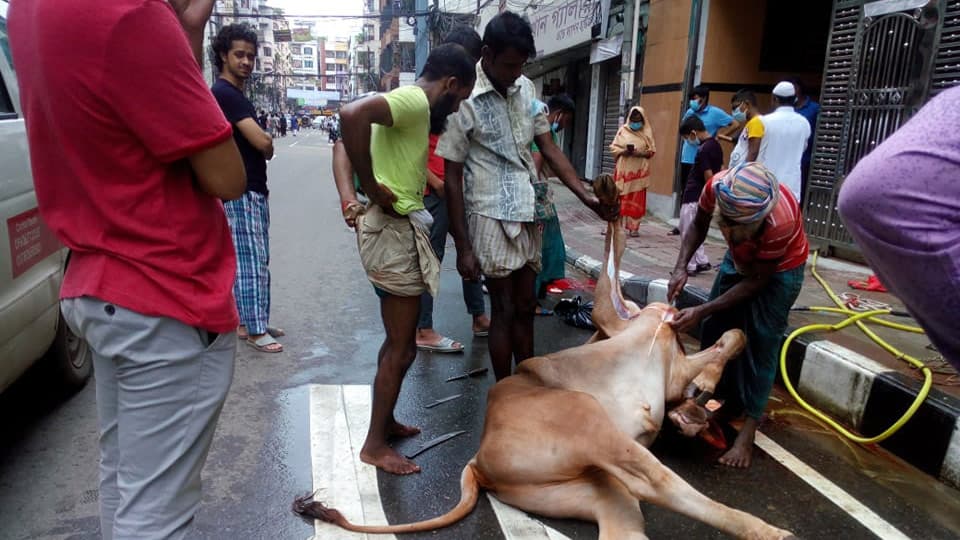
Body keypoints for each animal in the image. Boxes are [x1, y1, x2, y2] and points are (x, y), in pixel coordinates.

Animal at [294, 175, 796, 536]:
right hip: (590, 426)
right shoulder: (620, 320)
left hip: (593, 491)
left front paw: (697, 403)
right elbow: (720, 328)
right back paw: (768, 530)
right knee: (654, 481)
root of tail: (478, 460)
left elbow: (731, 334)